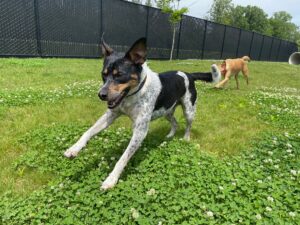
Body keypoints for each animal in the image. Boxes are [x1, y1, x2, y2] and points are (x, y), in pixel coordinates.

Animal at [65, 37, 220, 189]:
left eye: (120, 75)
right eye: (103, 75)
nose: (101, 95)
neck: (132, 95)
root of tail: (189, 74)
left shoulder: (140, 130)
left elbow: (123, 158)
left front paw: (111, 180)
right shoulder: (110, 115)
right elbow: (88, 132)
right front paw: (74, 149)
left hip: (189, 109)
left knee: (188, 125)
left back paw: (186, 138)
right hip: (166, 110)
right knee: (175, 122)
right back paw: (170, 135)